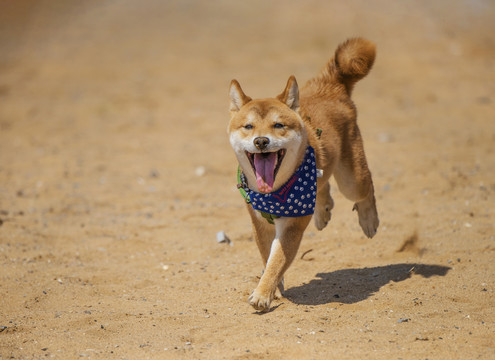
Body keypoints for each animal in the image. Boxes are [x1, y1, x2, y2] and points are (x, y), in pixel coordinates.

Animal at [229, 38, 380, 310]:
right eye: (248, 126)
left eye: (278, 125)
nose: (261, 141)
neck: (275, 193)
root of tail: (331, 84)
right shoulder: (259, 223)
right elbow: (268, 258)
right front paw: (274, 289)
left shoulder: (292, 224)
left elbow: (276, 260)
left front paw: (263, 294)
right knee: (322, 184)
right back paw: (323, 211)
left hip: (351, 180)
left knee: (365, 189)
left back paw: (368, 221)